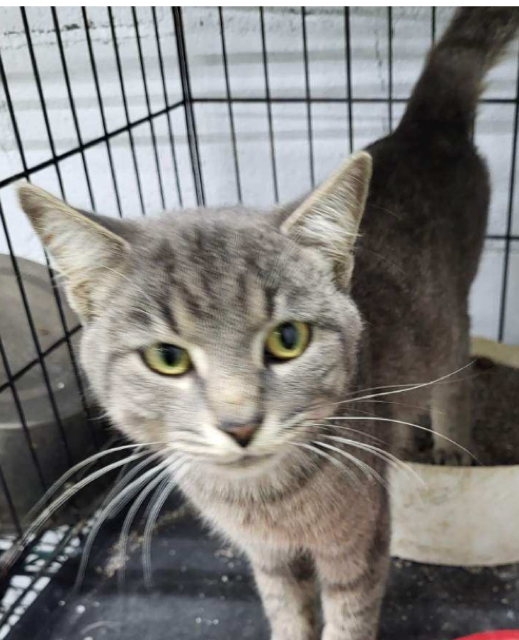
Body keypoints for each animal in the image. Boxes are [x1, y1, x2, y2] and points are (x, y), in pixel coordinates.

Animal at [18, 8, 519, 640]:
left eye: (287, 340)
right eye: (167, 357)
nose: (240, 425)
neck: (262, 501)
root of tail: (421, 126)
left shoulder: (358, 544)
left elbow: (347, 620)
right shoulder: (271, 558)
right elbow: (287, 612)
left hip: (452, 314)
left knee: (455, 379)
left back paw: (452, 448)